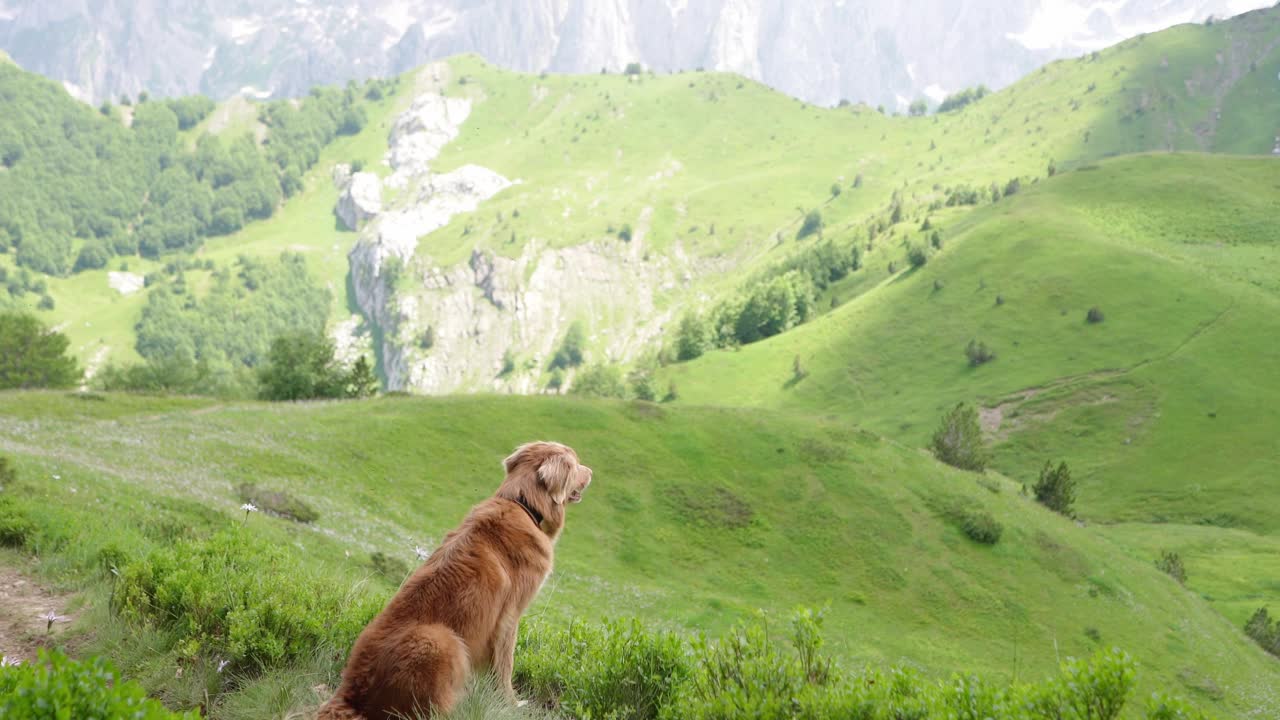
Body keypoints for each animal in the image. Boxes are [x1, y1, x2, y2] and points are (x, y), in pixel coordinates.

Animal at [322, 440, 596, 712]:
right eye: (576, 464)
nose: (592, 472)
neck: (524, 504)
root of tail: (350, 690)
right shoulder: (509, 616)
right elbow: (505, 665)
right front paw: (511, 703)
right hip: (442, 640)